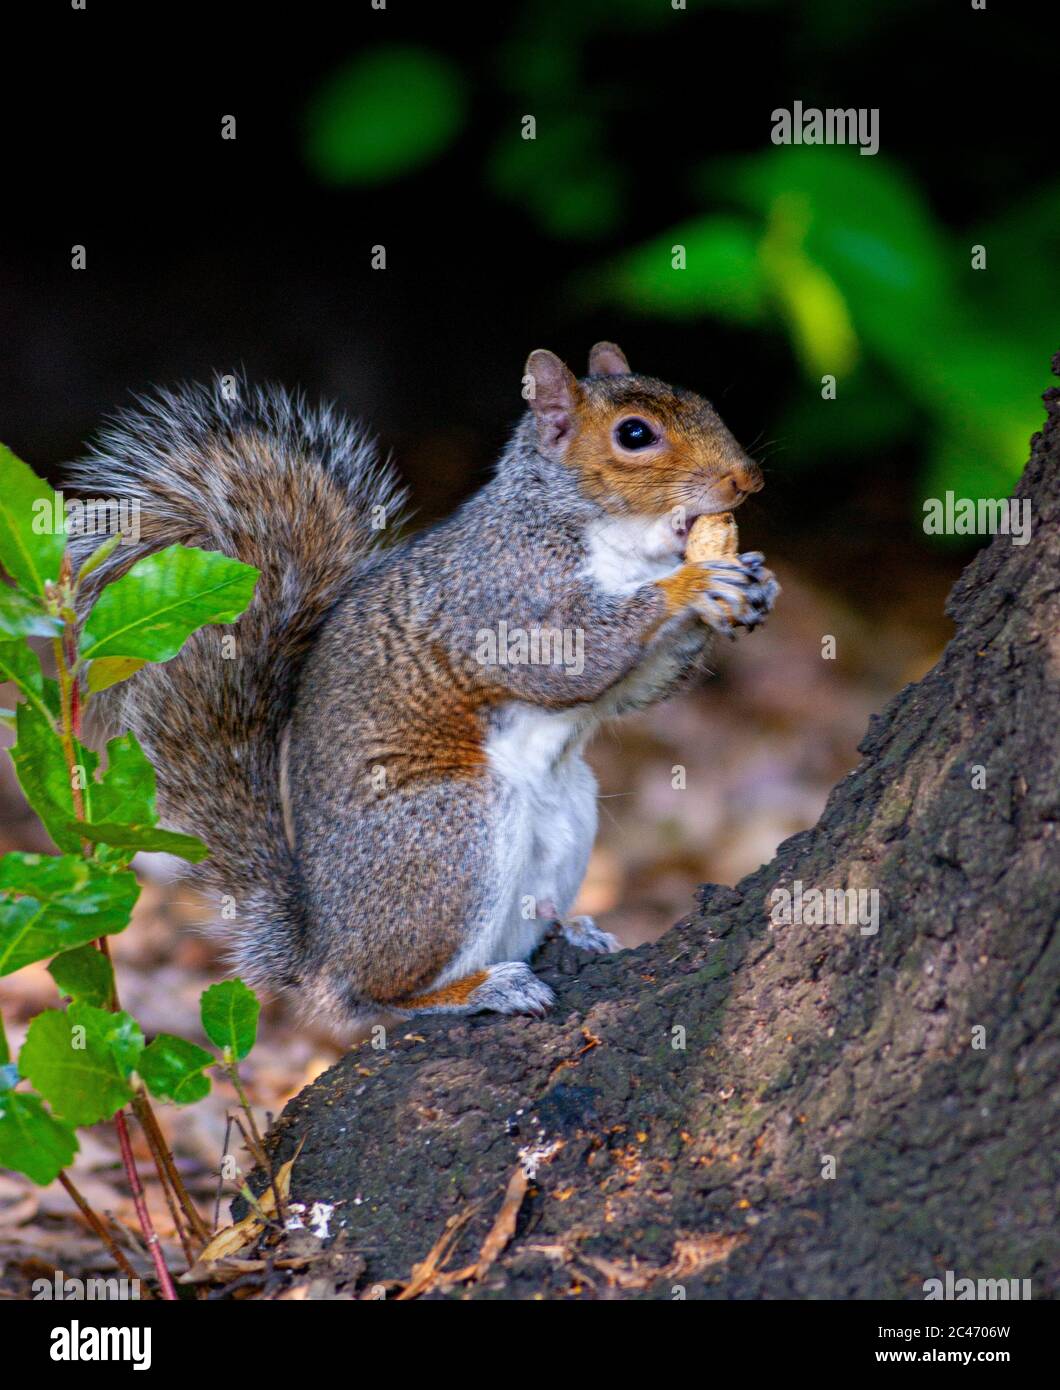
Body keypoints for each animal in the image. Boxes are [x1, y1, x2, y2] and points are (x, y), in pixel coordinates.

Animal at [68, 341, 777, 1028]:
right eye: (634, 434)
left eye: (701, 400)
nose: (748, 480)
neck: (604, 534)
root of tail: (322, 955)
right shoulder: (500, 600)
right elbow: (570, 658)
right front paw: (691, 584)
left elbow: (633, 690)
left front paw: (751, 581)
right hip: (451, 829)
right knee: (379, 995)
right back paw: (481, 988)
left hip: (567, 812)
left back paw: (572, 931)